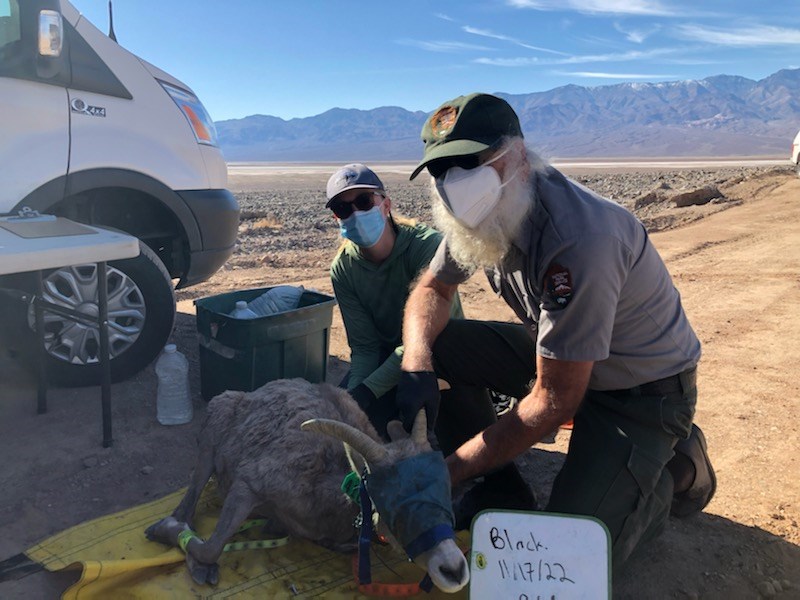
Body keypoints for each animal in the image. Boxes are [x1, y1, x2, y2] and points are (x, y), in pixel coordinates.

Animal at [145, 378, 468, 592]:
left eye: (447, 490)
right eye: (389, 502)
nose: (453, 569)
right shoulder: (250, 483)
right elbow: (211, 547)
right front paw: (180, 542)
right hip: (213, 430)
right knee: (190, 498)